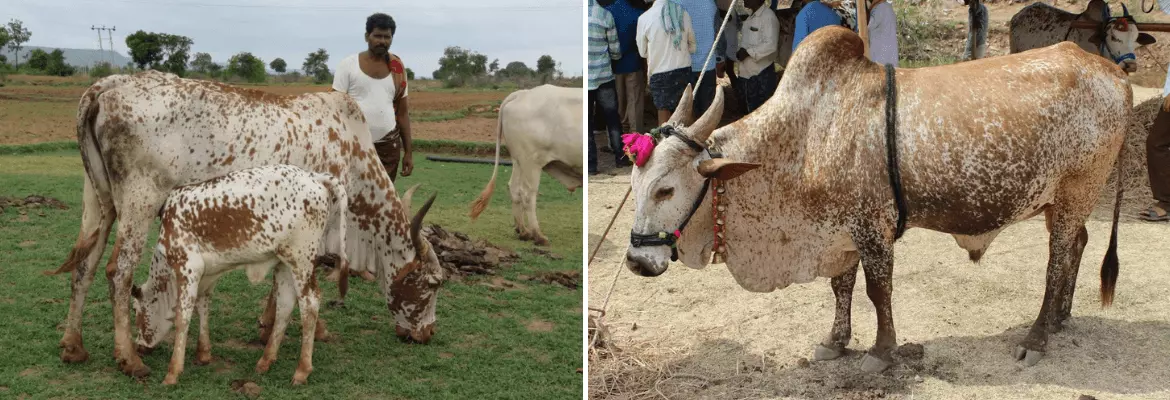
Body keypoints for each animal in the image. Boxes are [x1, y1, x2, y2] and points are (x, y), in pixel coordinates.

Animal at [131, 165, 360, 385]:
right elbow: (203, 307)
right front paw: (203, 353)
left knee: (310, 304)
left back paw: (302, 370)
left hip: (301, 261)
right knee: (285, 305)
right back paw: (266, 360)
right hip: (284, 264)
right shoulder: (207, 275)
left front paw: (172, 373)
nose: (139, 346)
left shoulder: (188, 268)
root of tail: (314, 176)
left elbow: (182, 318)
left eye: (137, 311)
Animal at [468, 84, 583, 246]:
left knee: (514, 188)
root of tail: (523, 93)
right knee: (528, 195)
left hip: (518, 160)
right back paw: (538, 235)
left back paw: (522, 231)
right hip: (532, 162)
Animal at [623, 27, 1128, 372]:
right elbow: (840, 287)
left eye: (666, 189)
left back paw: (1038, 336)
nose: (635, 261)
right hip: (1060, 202)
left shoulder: (872, 229)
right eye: (634, 183)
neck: (805, 138)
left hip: (1076, 191)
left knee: (1057, 260)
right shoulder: (838, 231)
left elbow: (876, 290)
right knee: (1078, 245)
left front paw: (882, 352)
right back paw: (1061, 318)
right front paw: (835, 341)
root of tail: (1114, 72)